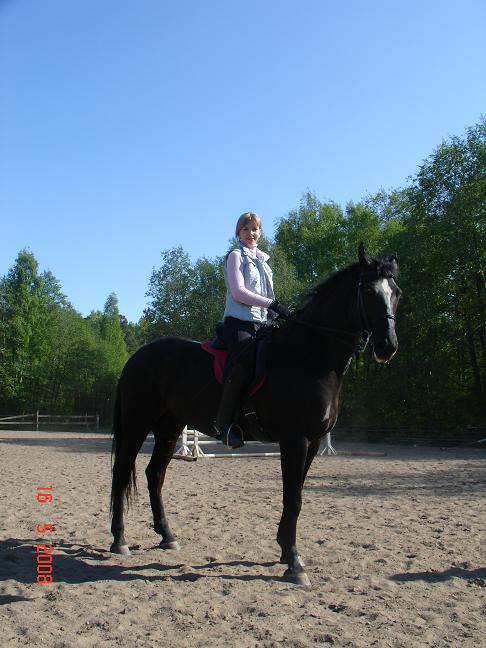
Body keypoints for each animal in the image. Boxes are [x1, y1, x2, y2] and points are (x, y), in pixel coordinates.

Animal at [110, 244, 401, 587]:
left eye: (396, 293)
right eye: (368, 291)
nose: (387, 346)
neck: (309, 355)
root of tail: (138, 357)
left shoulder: (314, 442)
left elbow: (296, 495)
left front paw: (286, 551)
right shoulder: (295, 440)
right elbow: (293, 498)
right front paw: (295, 564)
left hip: (169, 428)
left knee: (154, 475)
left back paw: (167, 536)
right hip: (137, 424)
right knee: (121, 473)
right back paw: (119, 540)